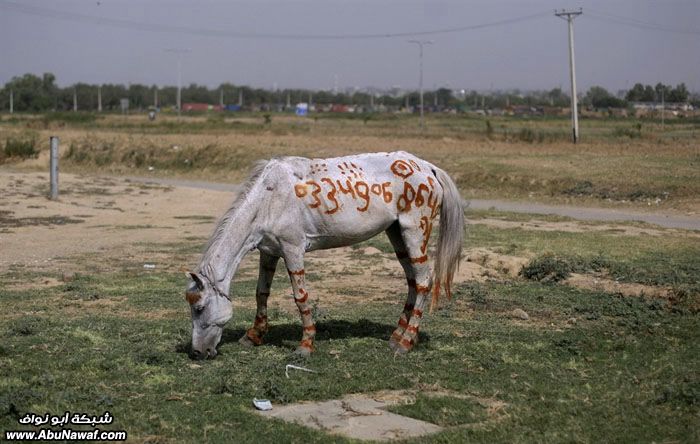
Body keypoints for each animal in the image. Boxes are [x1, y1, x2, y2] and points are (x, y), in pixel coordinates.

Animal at [185, 151, 464, 360]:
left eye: (199, 308)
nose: (198, 352)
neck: (269, 197)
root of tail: (428, 168)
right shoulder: (269, 252)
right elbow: (261, 293)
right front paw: (254, 336)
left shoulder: (292, 249)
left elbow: (300, 297)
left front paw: (305, 345)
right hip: (396, 234)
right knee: (412, 282)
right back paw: (397, 335)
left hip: (414, 232)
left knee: (424, 281)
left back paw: (406, 342)